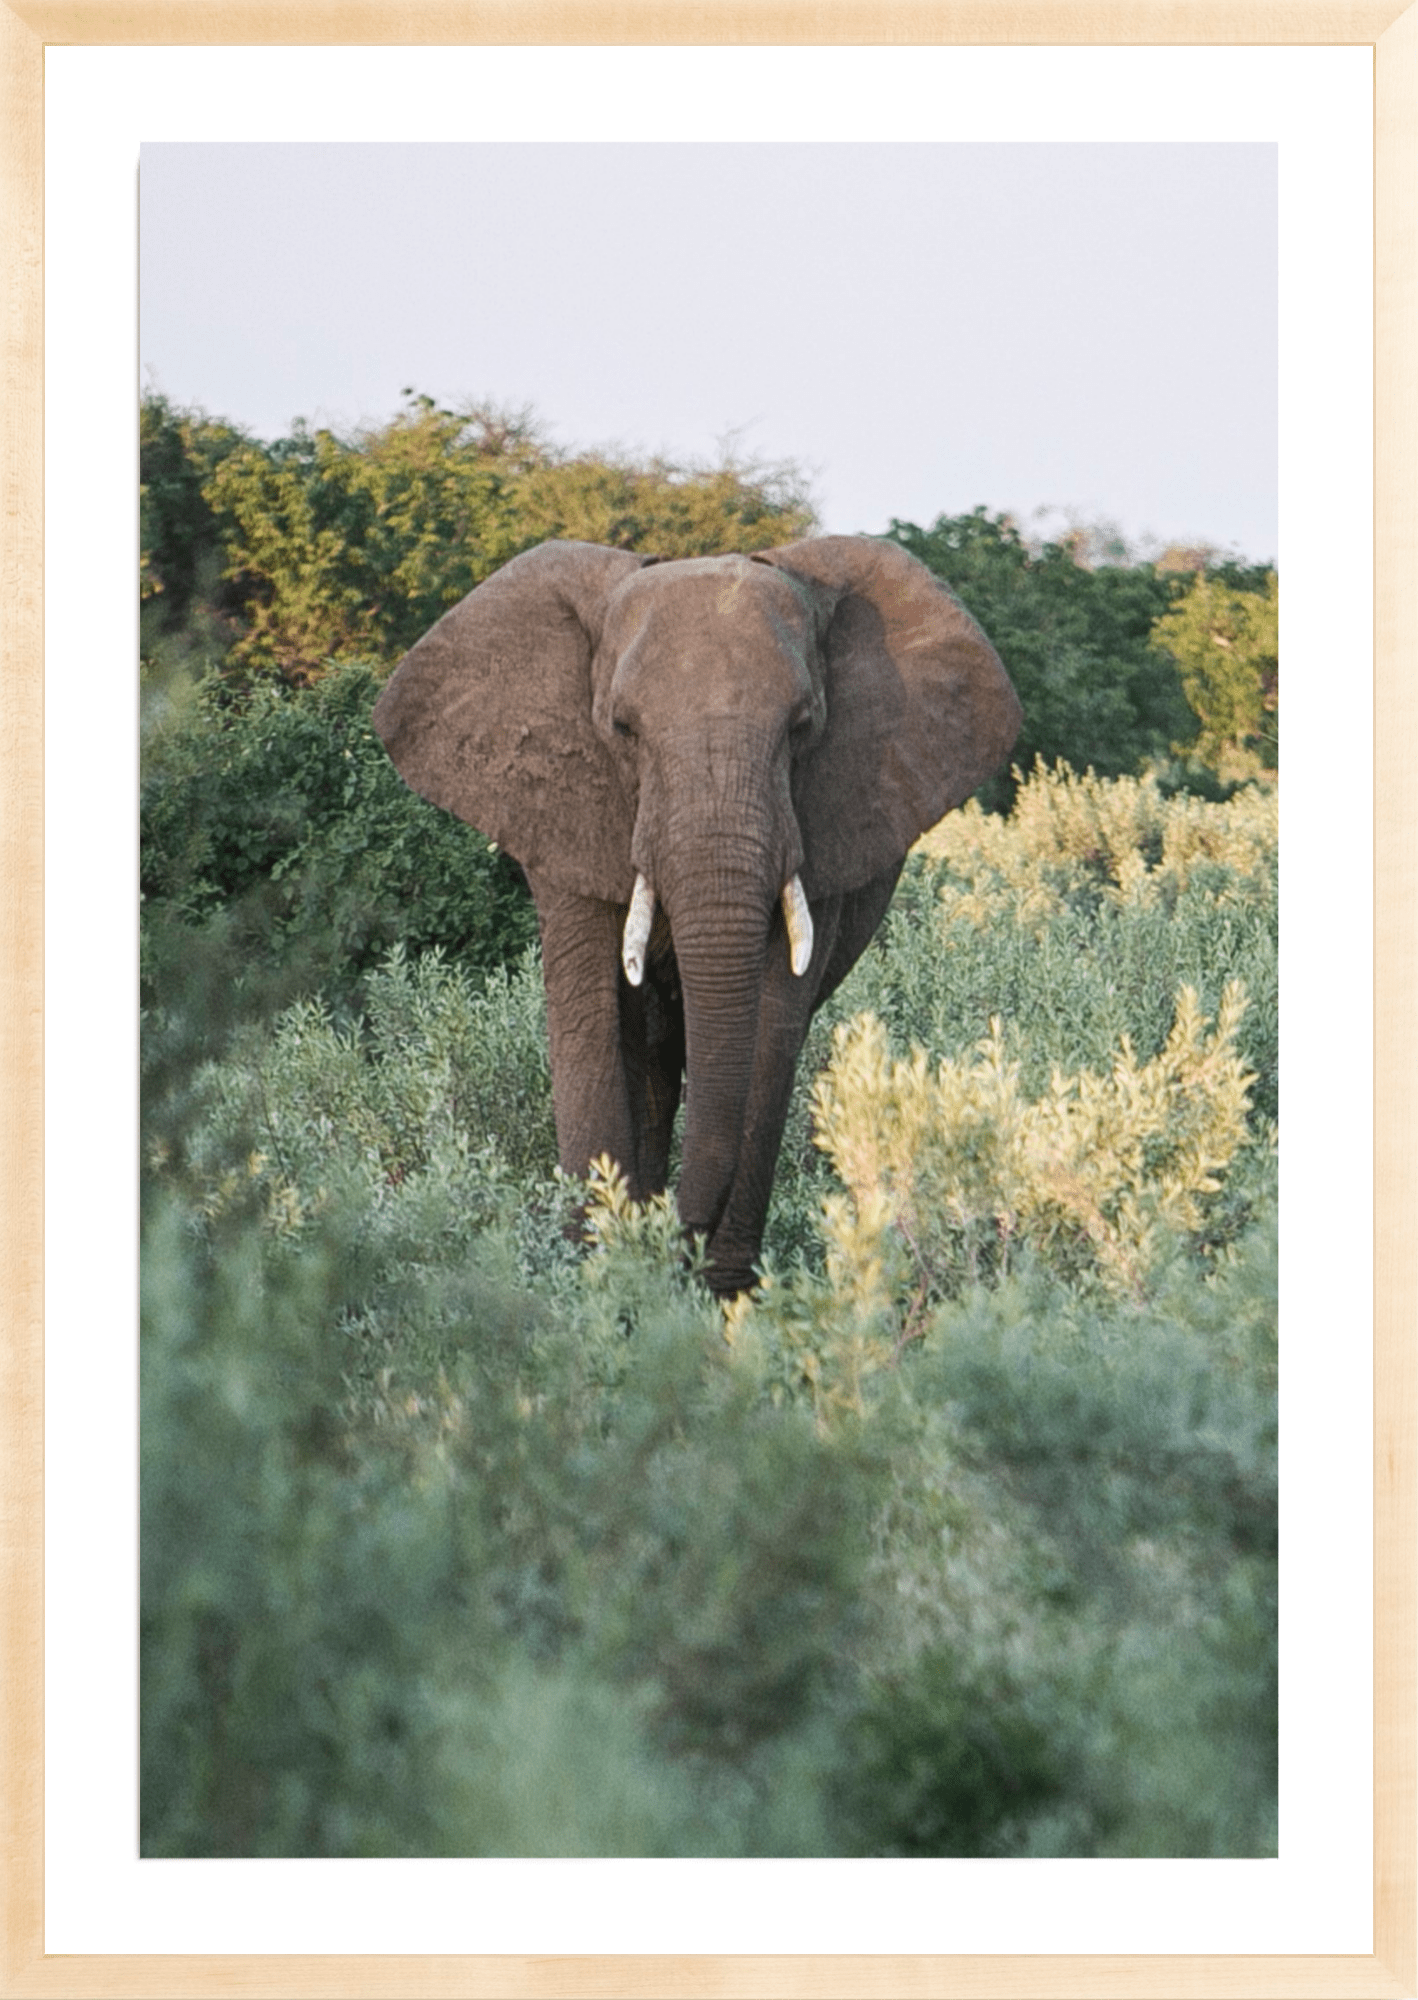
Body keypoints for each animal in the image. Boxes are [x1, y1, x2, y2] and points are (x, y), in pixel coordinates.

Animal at [373, 535, 1020, 1298]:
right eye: (622, 729)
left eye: (803, 727)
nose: (676, 1240)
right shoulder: (563, 810)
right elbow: (591, 1021)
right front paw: (596, 1278)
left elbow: (771, 1029)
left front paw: (721, 1293)